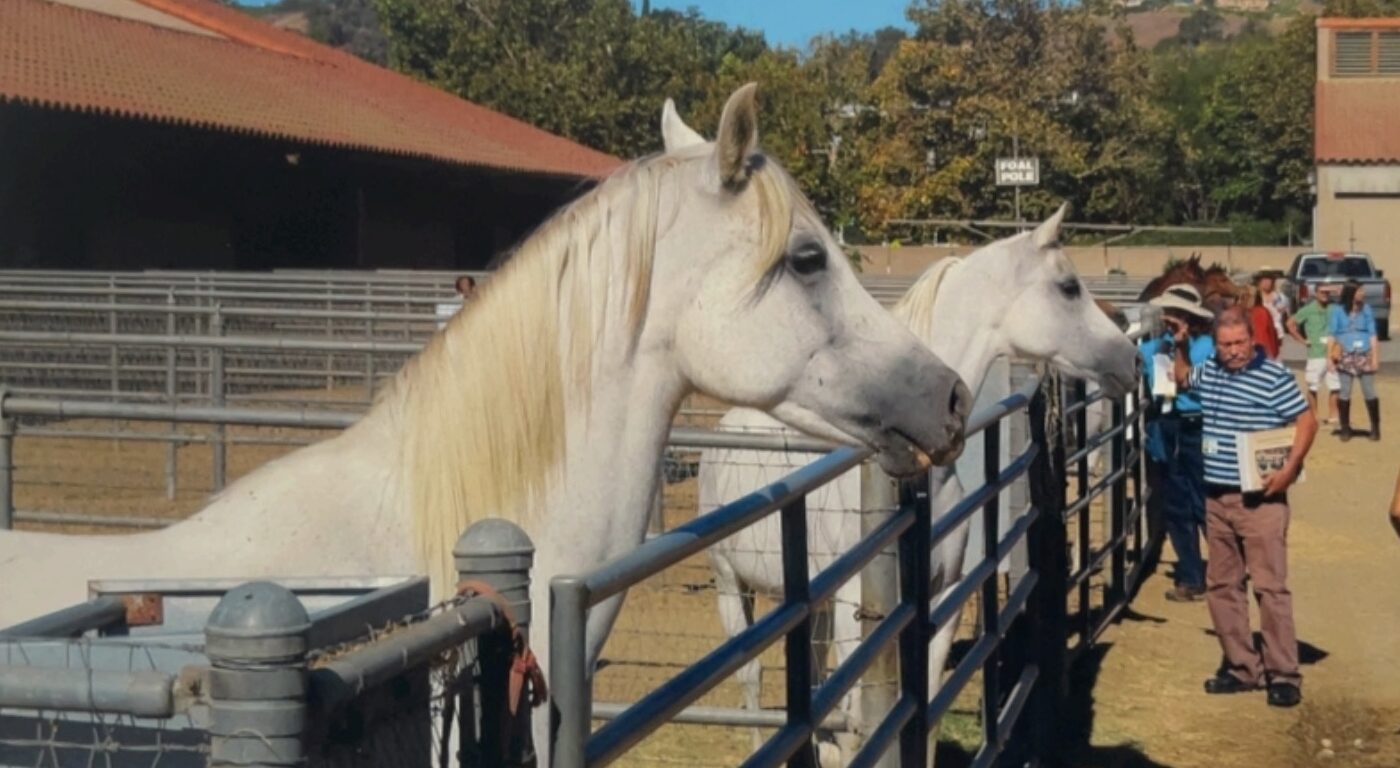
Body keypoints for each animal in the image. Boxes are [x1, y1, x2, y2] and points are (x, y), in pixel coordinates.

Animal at [675, 111, 1139, 763]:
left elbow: (924, 712)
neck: (920, 480)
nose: (1131, 358)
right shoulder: (857, 612)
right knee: (753, 683)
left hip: (809, 604)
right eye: (1069, 287)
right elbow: (856, 727)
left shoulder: (940, 602)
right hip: (730, 586)